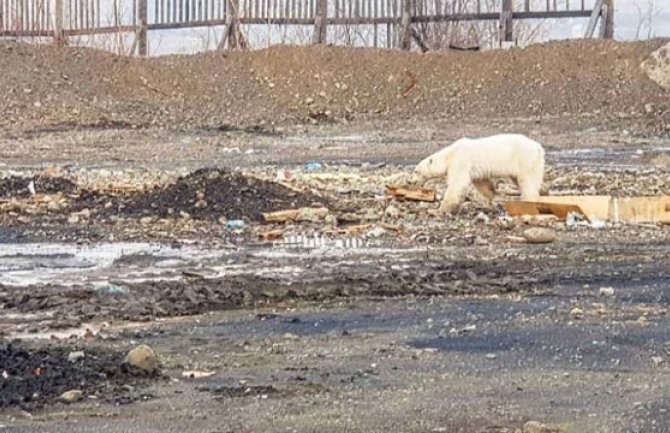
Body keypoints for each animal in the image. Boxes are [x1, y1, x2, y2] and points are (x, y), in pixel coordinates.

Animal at [414, 132, 544, 213]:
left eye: (416, 171)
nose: (411, 181)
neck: (450, 154)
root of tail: (539, 148)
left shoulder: (460, 161)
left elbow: (457, 184)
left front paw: (440, 209)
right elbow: (482, 183)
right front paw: (488, 203)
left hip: (525, 160)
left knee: (527, 182)